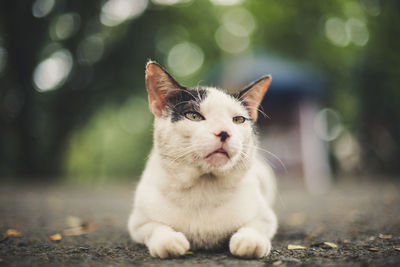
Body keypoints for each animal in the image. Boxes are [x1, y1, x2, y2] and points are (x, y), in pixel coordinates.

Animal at [126, 61, 276, 260]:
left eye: (238, 120)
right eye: (194, 116)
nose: (224, 132)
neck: (204, 187)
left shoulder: (266, 217)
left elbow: (255, 225)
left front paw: (249, 241)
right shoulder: (138, 222)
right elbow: (156, 227)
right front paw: (168, 241)